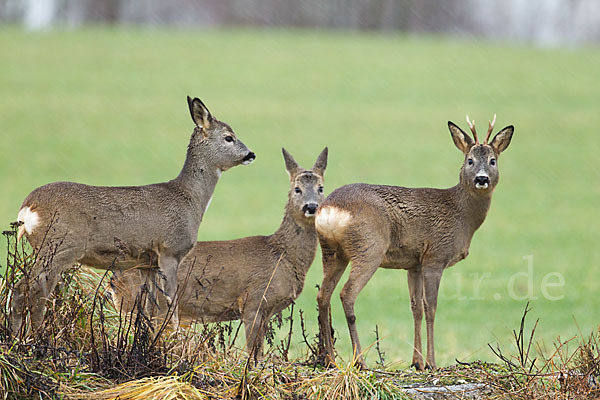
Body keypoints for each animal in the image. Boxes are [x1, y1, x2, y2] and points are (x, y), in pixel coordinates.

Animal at [10, 96, 255, 334]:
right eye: (229, 137)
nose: (251, 154)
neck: (190, 198)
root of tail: (27, 207)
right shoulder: (170, 251)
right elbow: (170, 309)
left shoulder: (147, 263)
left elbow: (148, 311)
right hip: (59, 247)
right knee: (28, 291)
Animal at [112, 147, 328, 360]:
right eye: (297, 189)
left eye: (321, 188)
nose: (311, 206)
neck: (282, 254)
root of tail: (113, 279)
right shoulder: (254, 301)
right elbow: (253, 355)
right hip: (132, 304)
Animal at [316, 115, 512, 368]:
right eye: (470, 160)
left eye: (492, 160)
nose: (481, 178)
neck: (462, 216)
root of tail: (330, 209)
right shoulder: (435, 256)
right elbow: (431, 307)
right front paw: (431, 362)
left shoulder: (414, 263)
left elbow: (415, 307)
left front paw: (417, 362)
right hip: (369, 247)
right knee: (347, 294)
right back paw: (360, 361)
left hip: (331, 251)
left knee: (323, 296)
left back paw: (330, 359)